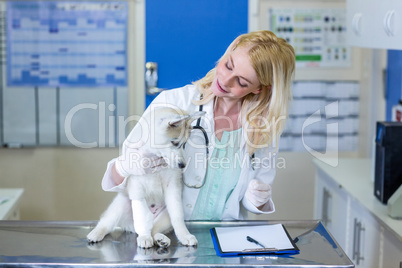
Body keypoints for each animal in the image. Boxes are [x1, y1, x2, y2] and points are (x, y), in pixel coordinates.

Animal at [89, 106, 206, 247]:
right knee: (107, 223)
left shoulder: (173, 187)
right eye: (174, 142)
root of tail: (131, 227)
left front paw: (184, 235)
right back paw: (96, 233)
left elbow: (177, 217)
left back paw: (161, 239)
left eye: (184, 144)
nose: (182, 165)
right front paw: (144, 236)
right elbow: (142, 219)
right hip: (120, 205)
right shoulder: (137, 189)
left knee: (154, 229)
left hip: (165, 217)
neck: (155, 155)